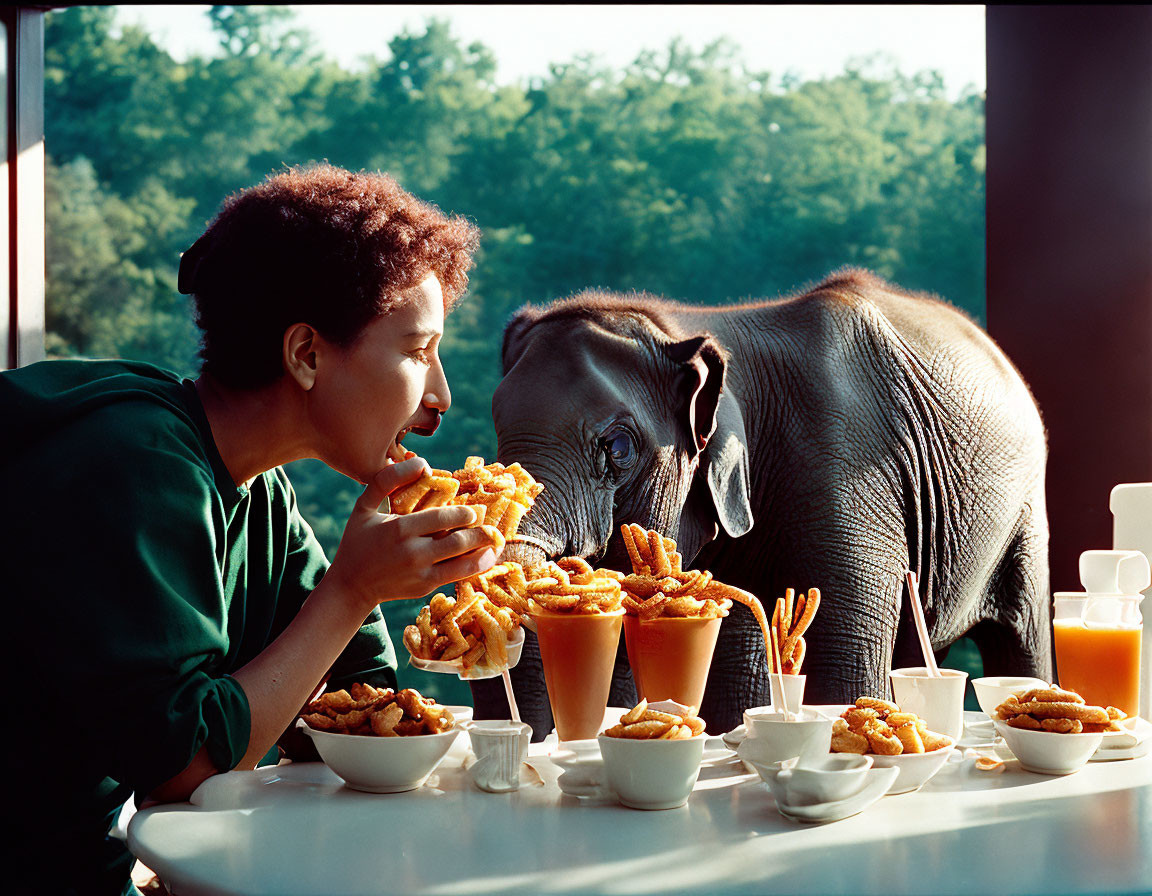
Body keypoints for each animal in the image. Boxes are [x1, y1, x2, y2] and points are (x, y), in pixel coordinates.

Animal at [470, 267, 1055, 732]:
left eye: (617, 446)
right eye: (495, 429)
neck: (689, 327)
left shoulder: (852, 483)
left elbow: (841, 668)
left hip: (1025, 517)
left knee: (1019, 641)